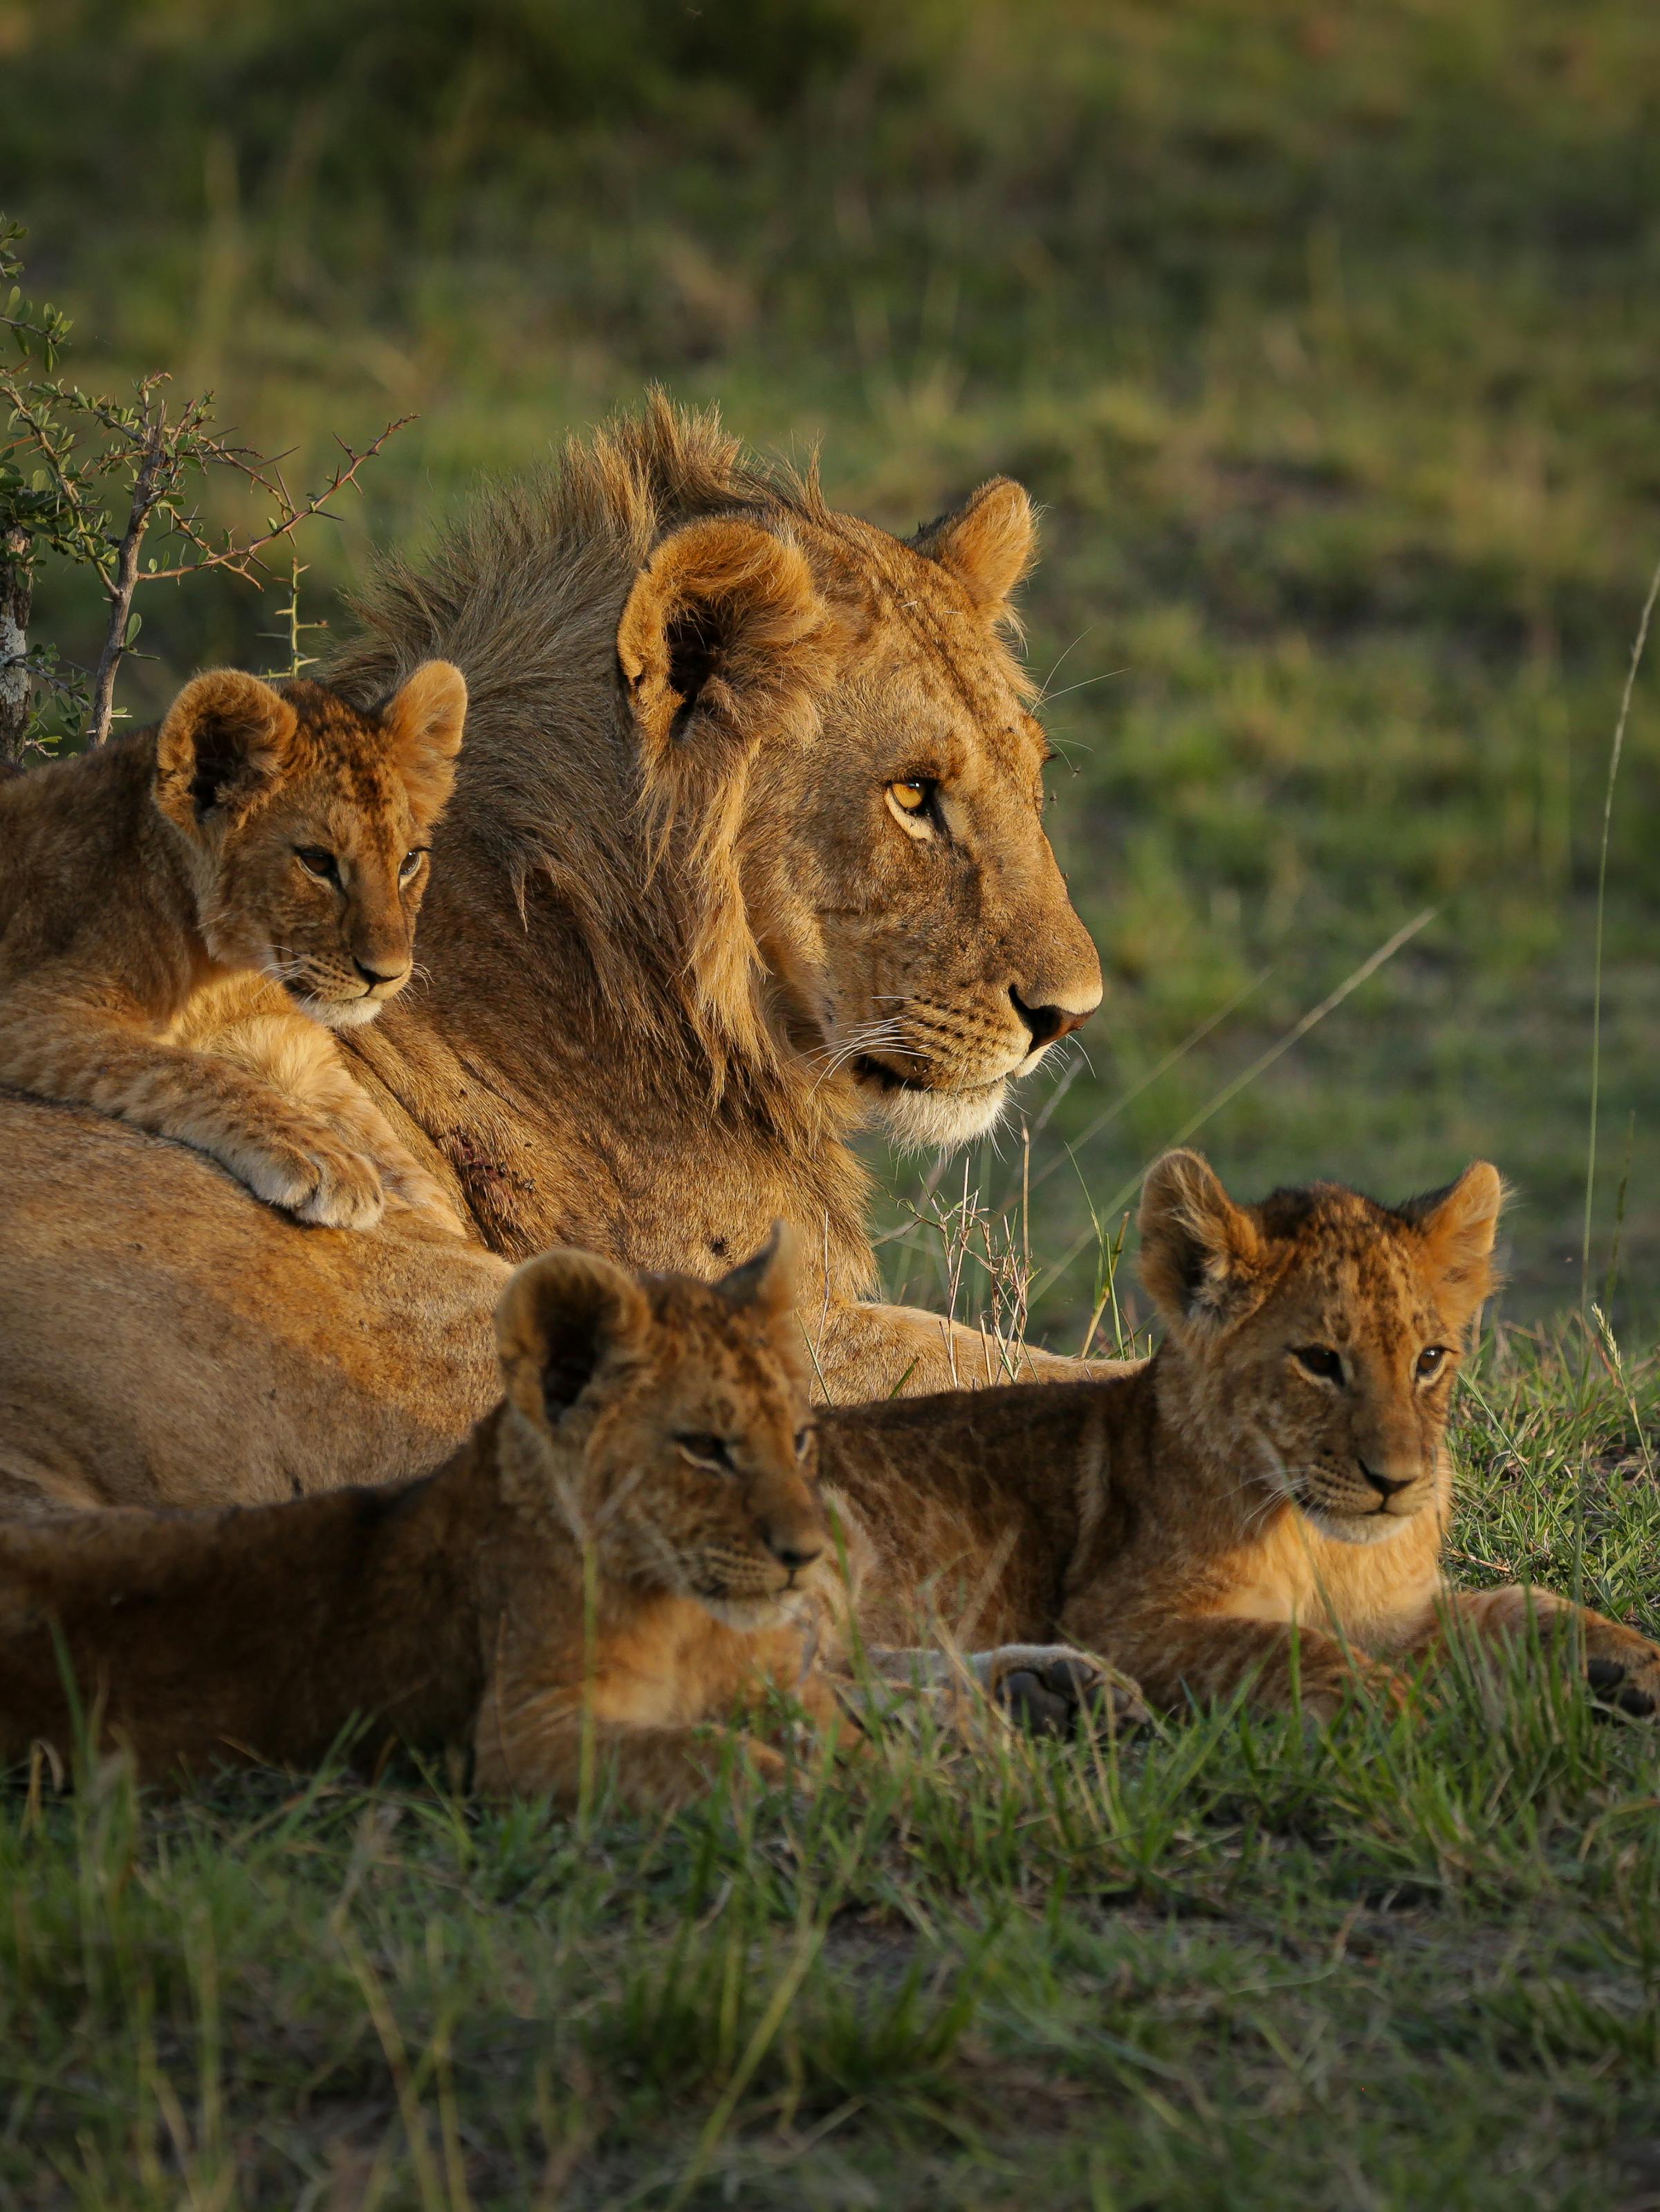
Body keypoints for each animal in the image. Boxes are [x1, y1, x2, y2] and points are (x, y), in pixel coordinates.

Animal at [0, 663, 466, 1232]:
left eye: (409, 862)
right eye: (317, 861)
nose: (387, 976)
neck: (226, 974)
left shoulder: (289, 1045)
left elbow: (388, 1148)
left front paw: (435, 1216)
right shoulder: (31, 1005)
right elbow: (185, 1069)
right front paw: (324, 1156)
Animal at [0, 1230, 1126, 1803]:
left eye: (800, 1439)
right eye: (705, 1446)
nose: (808, 1550)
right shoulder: (520, 1736)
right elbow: (722, 1751)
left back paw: (1046, 1689)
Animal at [815, 1151, 1660, 1722]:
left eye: (1429, 1360)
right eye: (1319, 1360)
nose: (1396, 1483)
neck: (1319, 1540)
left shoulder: (1396, 1610)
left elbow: (1522, 1603)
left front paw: (1633, 1662)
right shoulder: (1119, 1617)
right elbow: (1288, 1646)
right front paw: (1400, 1712)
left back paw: (1050, 1692)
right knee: (798, 1694)